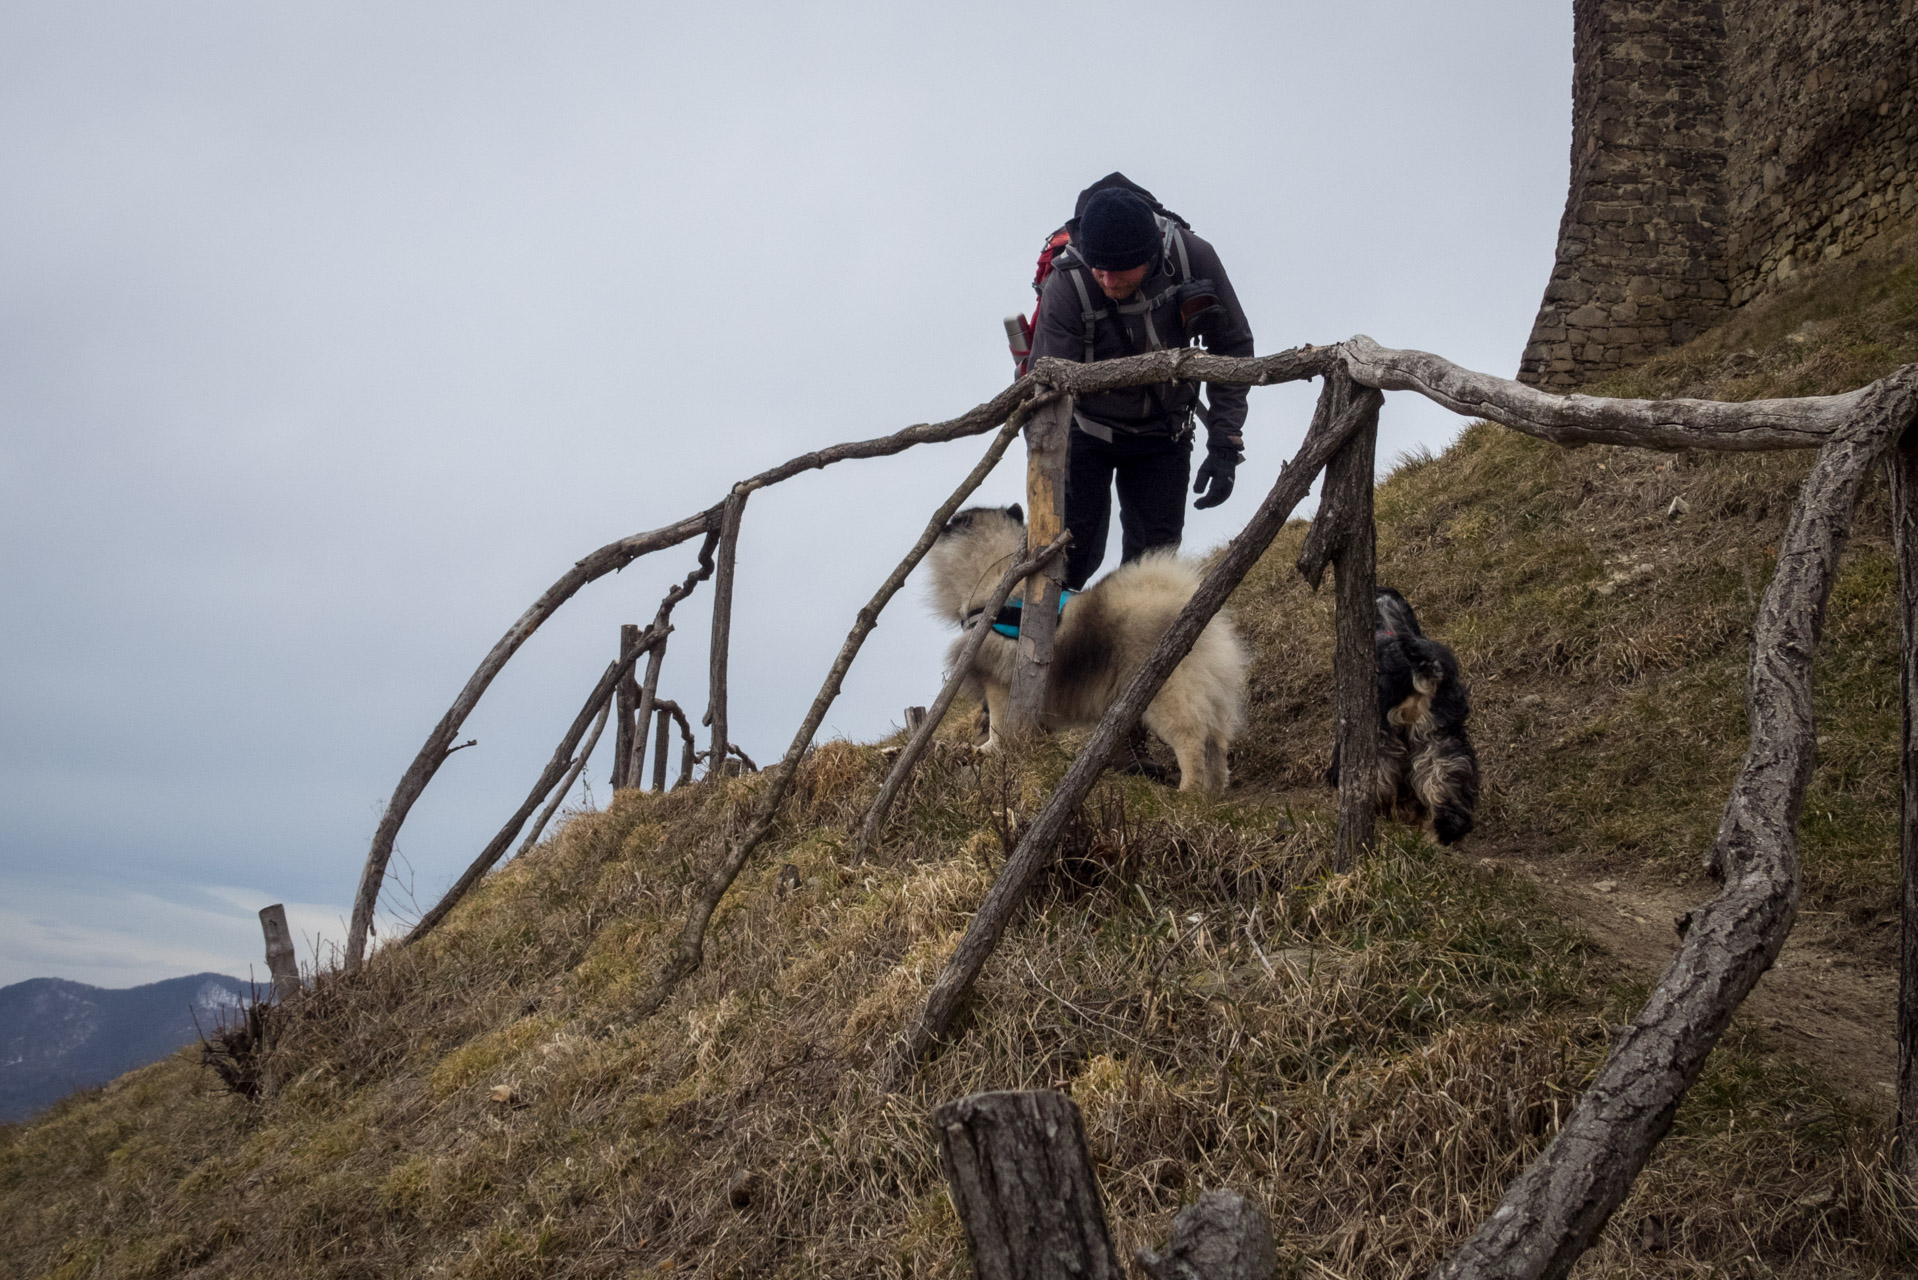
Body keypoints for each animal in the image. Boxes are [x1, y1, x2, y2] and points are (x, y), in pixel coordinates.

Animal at [924, 502, 1250, 790]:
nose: (940, 523)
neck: (1000, 585)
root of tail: (1188, 602)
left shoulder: (1000, 682)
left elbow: (999, 724)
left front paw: (987, 749)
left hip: (1166, 694)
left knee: (1192, 741)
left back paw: (1188, 792)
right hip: (1210, 694)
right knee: (1215, 746)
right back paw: (1211, 795)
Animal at [1334, 587, 1480, 844]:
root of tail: (1421, 665)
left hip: (1384, 735)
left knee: (1383, 779)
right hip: (1440, 732)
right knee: (1446, 776)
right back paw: (1444, 830)